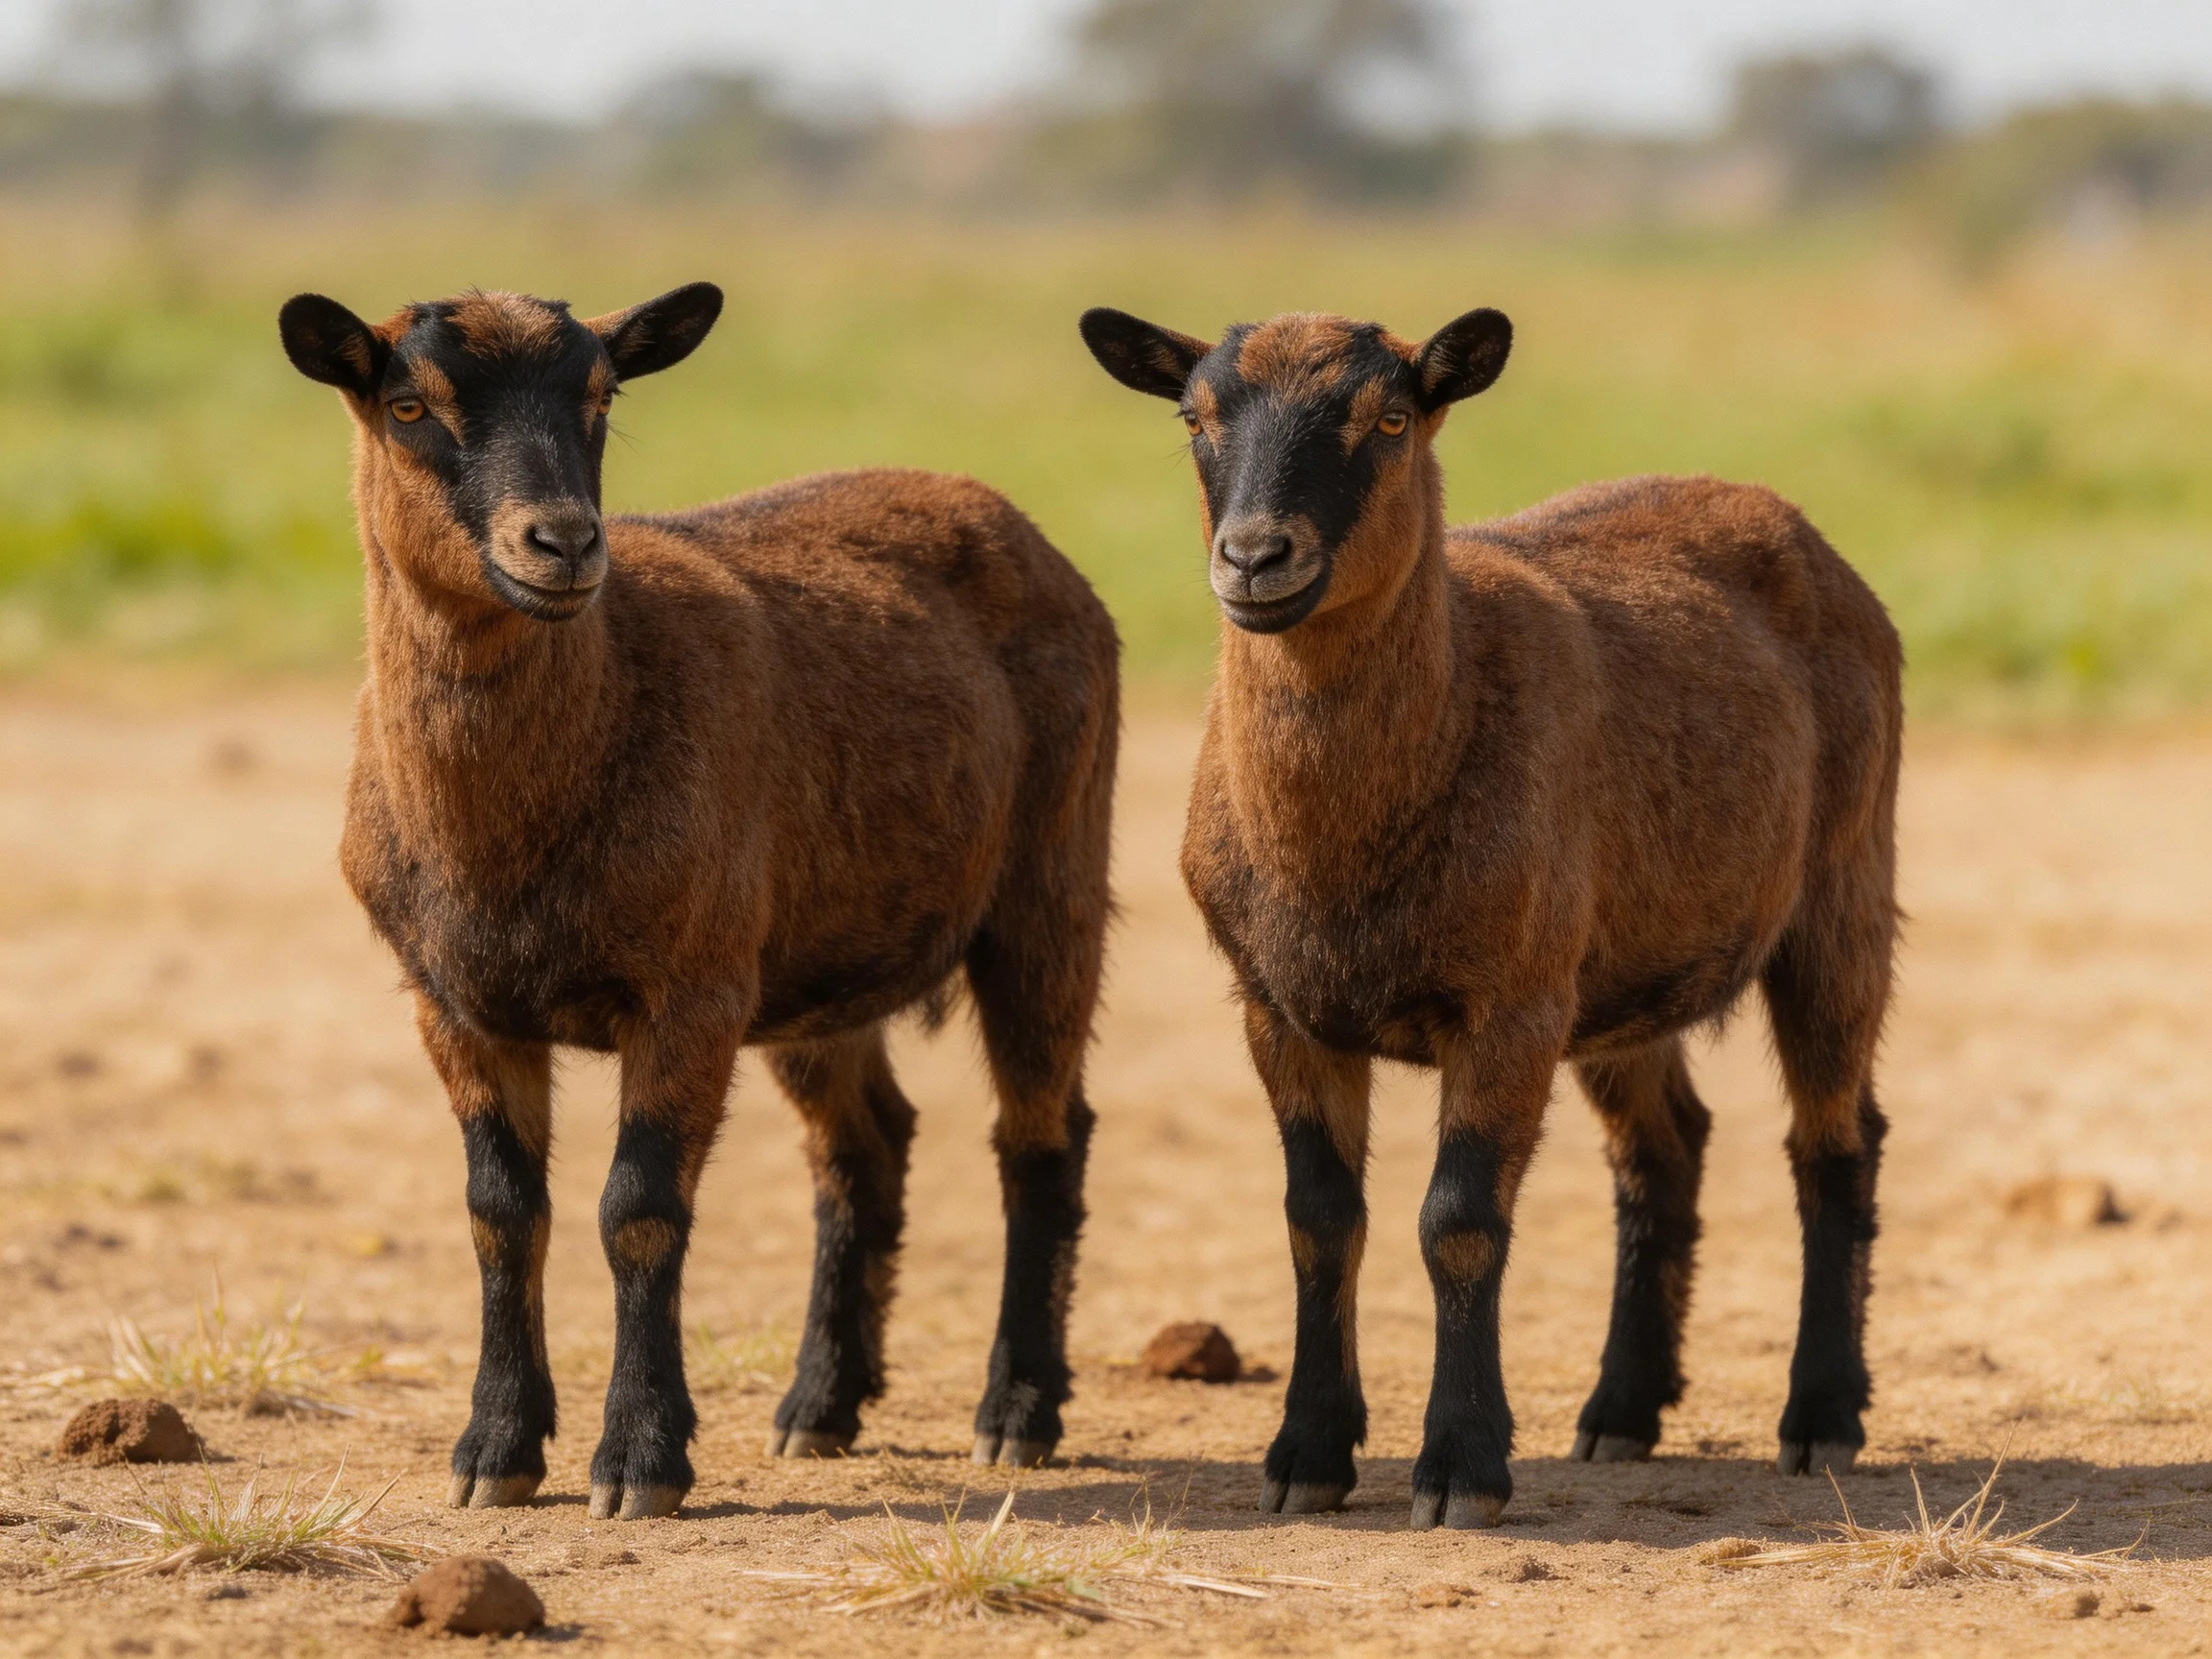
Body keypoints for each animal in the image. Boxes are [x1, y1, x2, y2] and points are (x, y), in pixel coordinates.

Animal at [278, 283, 1118, 1519]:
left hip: (1048, 885)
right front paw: (494, 1452)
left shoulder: (690, 990)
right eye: (408, 404)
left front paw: (639, 1463)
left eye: (600, 395)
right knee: (865, 1147)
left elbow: (637, 1210)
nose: (563, 542)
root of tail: (995, 506)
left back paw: (1016, 1414)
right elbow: (501, 1215)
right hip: (819, 958)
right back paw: (819, 1408)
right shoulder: (456, 1002)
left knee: (1041, 1137)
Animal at [1081, 304, 1900, 1529]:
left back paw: (1823, 1419)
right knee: (1666, 1147)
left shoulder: (1506, 1003)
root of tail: (1777, 511)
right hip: (1615, 971)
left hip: (1839, 892)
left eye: (1391, 416)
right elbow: (1320, 1219)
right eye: (1194, 415)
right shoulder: (1281, 1007)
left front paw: (1461, 1469)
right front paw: (1307, 1456)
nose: (1256, 558)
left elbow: (1457, 1220)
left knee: (1836, 1142)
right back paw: (1620, 1414)